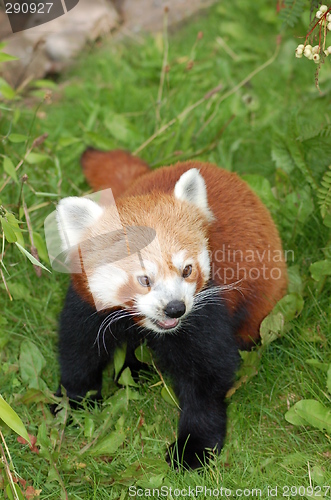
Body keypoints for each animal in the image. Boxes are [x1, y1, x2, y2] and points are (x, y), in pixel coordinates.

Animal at [54, 148, 288, 468]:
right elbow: (78, 351)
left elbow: (207, 376)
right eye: (144, 279)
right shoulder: (87, 305)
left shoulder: (205, 310)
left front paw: (194, 447)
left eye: (186, 270)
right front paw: (72, 403)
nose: (175, 308)